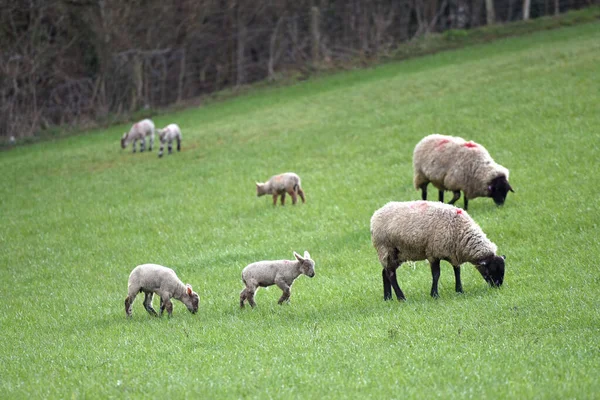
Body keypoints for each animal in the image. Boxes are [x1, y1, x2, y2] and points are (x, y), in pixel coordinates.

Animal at [370, 202, 506, 302]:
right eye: (490, 271)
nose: (498, 286)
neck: (460, 230)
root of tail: (375, 215)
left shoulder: (453, 252)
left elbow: (457, 271)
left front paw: (459, 290)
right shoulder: (433, 253)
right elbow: (436, 274)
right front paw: (434, 295)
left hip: (398, 254)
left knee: (385, 272)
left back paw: (388, 298)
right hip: (386, 249)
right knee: (391, 274)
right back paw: (401, 297)